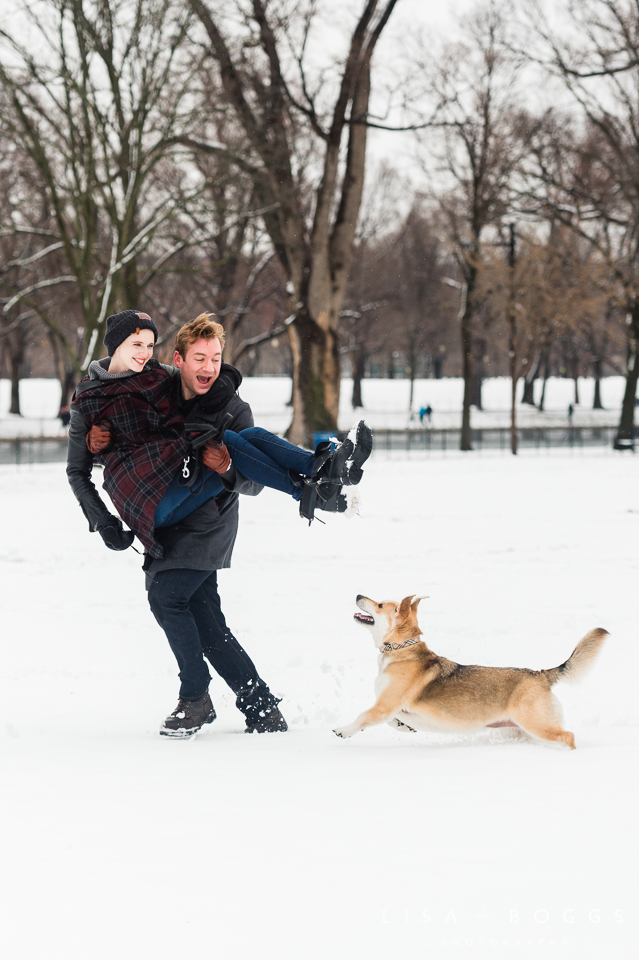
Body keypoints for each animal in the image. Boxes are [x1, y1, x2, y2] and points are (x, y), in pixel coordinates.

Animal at [336, 592, 608, 752]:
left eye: (380, 604)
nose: (359, 594)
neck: (402, 650)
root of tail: (542, 674)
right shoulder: (388, 708)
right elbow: (392, 721)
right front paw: (404, 727)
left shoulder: (383, 705)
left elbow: (362, 717)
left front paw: (343, 730)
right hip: (523, 729)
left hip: (538, 725)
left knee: (569, 737)